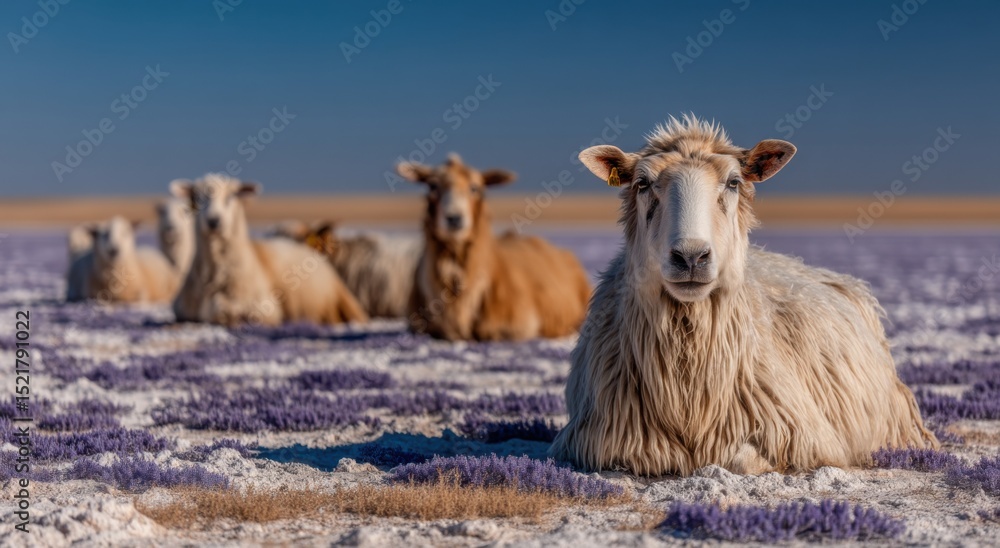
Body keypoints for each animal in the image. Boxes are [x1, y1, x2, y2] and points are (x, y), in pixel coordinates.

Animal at [170, 173, 368, 326]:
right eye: (196, 198)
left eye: (232, 196)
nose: (213, 221)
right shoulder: (182, 310)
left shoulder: (264, 308)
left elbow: (220, 309)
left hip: (339, 295)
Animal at [397, 153, 591, 341]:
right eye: (432, 186)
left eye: (475, 188)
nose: (454, 218)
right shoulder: (418, 326)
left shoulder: (521, 326)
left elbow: (489, 331)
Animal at [549, 115, 937, 476]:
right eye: (642, 183)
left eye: (734, 182)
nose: (691, 257)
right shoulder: (599, 439)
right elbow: (653, 455)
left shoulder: (805, 435)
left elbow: (738, 460)